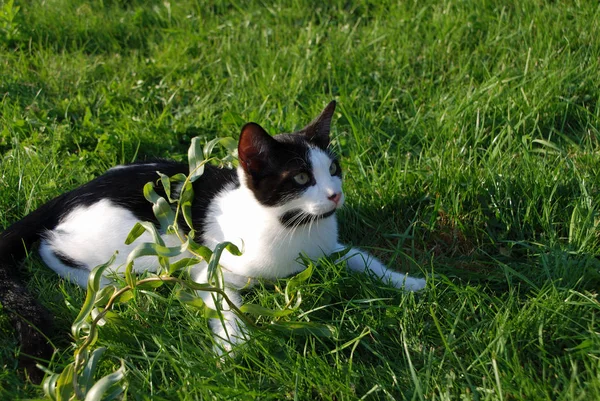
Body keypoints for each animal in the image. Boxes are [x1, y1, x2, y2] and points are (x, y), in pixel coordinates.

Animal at [0, 101, 424, 380]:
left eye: (334, 169)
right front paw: (234, 347)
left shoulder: (325, 251)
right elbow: (225, 300)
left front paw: (409, 282)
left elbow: (359, 257)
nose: (335, 195)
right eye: (302, 178)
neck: (291, 225)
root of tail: (69, 195)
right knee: (54, 250)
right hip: (144, 244)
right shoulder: (211, 263)